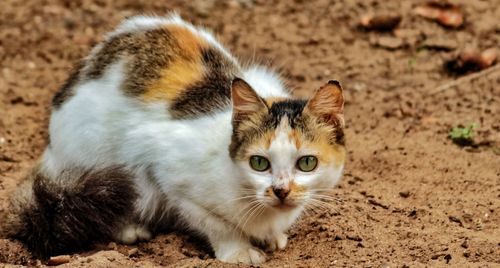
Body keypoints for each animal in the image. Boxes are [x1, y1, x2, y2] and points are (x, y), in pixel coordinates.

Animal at [0, 13, 346, 264]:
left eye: (307, 163)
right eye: (259, 163)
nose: (281, 191)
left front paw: (273, 238)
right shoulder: (170, 174)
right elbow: (216, 224)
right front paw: (238, 252)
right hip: (95, 159)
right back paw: (130, 229)